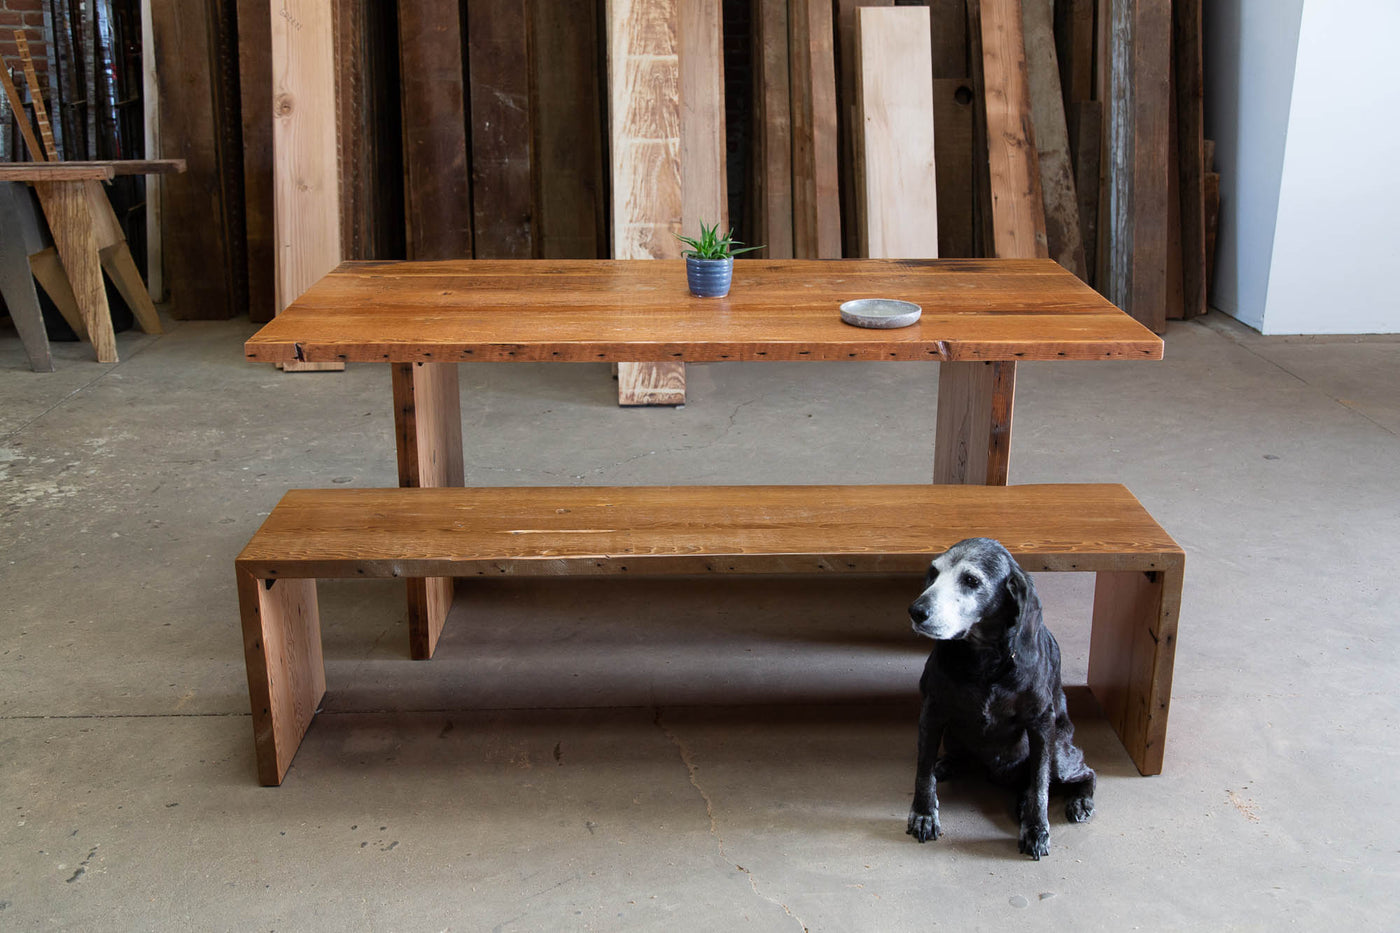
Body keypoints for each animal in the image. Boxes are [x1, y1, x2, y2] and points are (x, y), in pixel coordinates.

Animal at [907, 537, 1092, 857]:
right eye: (933, 573)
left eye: (971, 580)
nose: (916, 611)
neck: (985, 662)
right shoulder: (932, 712)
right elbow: (923, 771)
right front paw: (924, 814)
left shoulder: (1041, 724)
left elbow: (1040, 785)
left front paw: (1036, 827)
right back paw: (950, 764)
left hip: (1059, 755)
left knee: (1084, 772)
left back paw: (1079, 801)